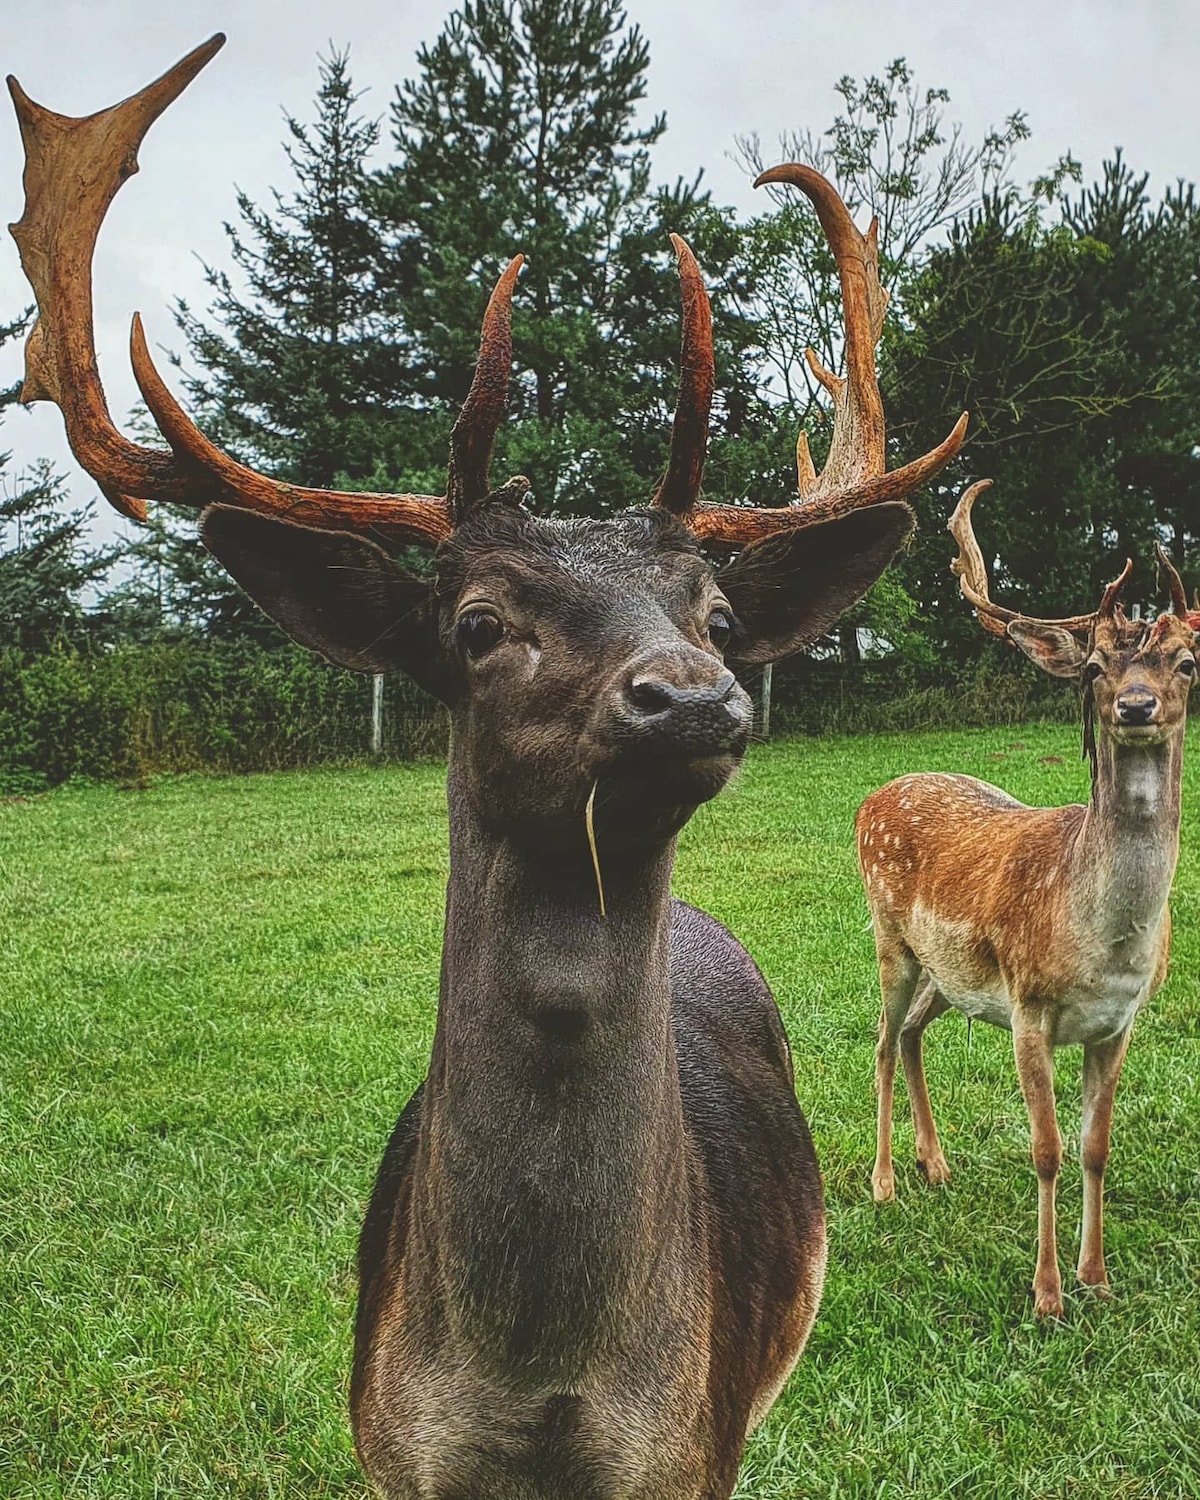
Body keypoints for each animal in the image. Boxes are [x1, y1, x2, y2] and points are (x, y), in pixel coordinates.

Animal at [4, 32, 972, 1488]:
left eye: (719, 619)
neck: (534, 1406)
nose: (693, 699)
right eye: (475, 625)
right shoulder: (385, 1446)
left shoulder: (700, 1444)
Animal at [858, 480, 1194, 1314]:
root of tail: (871, 797)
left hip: (952, 973)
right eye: (1097, 666)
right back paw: (884, 1182)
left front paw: (1096, 1278)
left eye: (1186, 662)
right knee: (880, 1039)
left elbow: (1096, 1146)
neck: (1104, 943)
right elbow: (1046, 1149)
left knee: (911, 1034)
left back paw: (935, 1164)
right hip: (890, 937)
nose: (1136, 705)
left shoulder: (1120, 1020)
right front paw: (1046, 1294)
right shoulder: (1029, 1006)